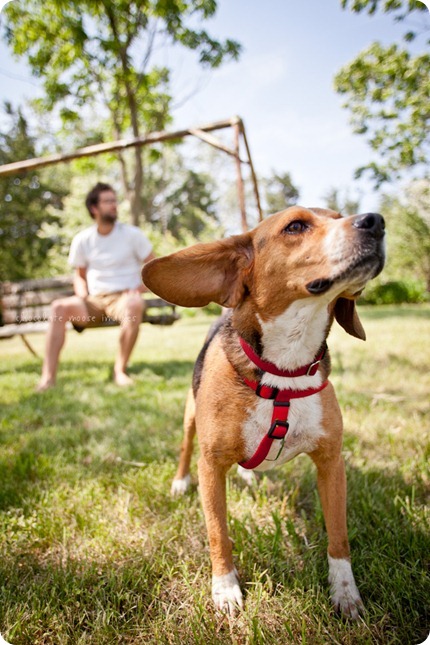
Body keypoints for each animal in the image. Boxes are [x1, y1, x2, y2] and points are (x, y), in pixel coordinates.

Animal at [142, 206, 386, 620]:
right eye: (296, 226)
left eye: (338, 215)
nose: (376, 221)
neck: (284, 372)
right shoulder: (211, 467)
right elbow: (218, 534)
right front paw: (225, 589)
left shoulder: (331, 463)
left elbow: (339, 538)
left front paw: (345, 593)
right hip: (190, 419)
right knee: (185, 448)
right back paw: (179, 482)